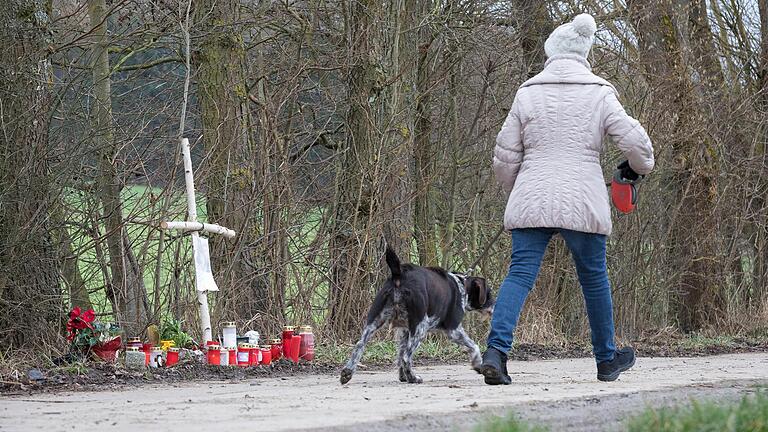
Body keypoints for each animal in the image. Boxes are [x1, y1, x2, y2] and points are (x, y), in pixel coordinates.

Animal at [340, 246, 496, 384]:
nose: (495, 305)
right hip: (421, 328)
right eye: (489, 294)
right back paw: (413, 378)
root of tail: (399, 274)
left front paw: (402, 376)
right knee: (406, 357)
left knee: (360, 345)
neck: (462, 286)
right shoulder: (454, 329)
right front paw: (478, 364)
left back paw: (347, 372)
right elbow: (474, 346)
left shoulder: (404, 331)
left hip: (375, 320)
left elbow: (399, 354)